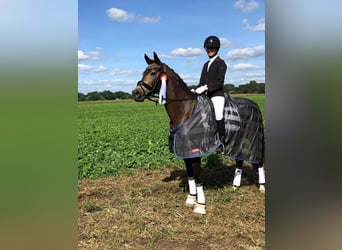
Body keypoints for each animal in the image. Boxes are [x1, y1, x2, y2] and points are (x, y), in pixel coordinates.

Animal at [131, 51, 264, 214]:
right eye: (144, 72)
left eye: (154, 72)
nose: (136, 93)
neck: (185, 110)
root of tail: (254, 105)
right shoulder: (185, 151)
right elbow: (190, 176)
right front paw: (191, 198)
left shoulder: (195, 152)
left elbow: (198, 177)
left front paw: (200, 205)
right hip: (239, 139)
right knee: (239, 159)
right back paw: (235, 186)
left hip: (254, 138)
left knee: (259, 160)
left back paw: (262, 187)